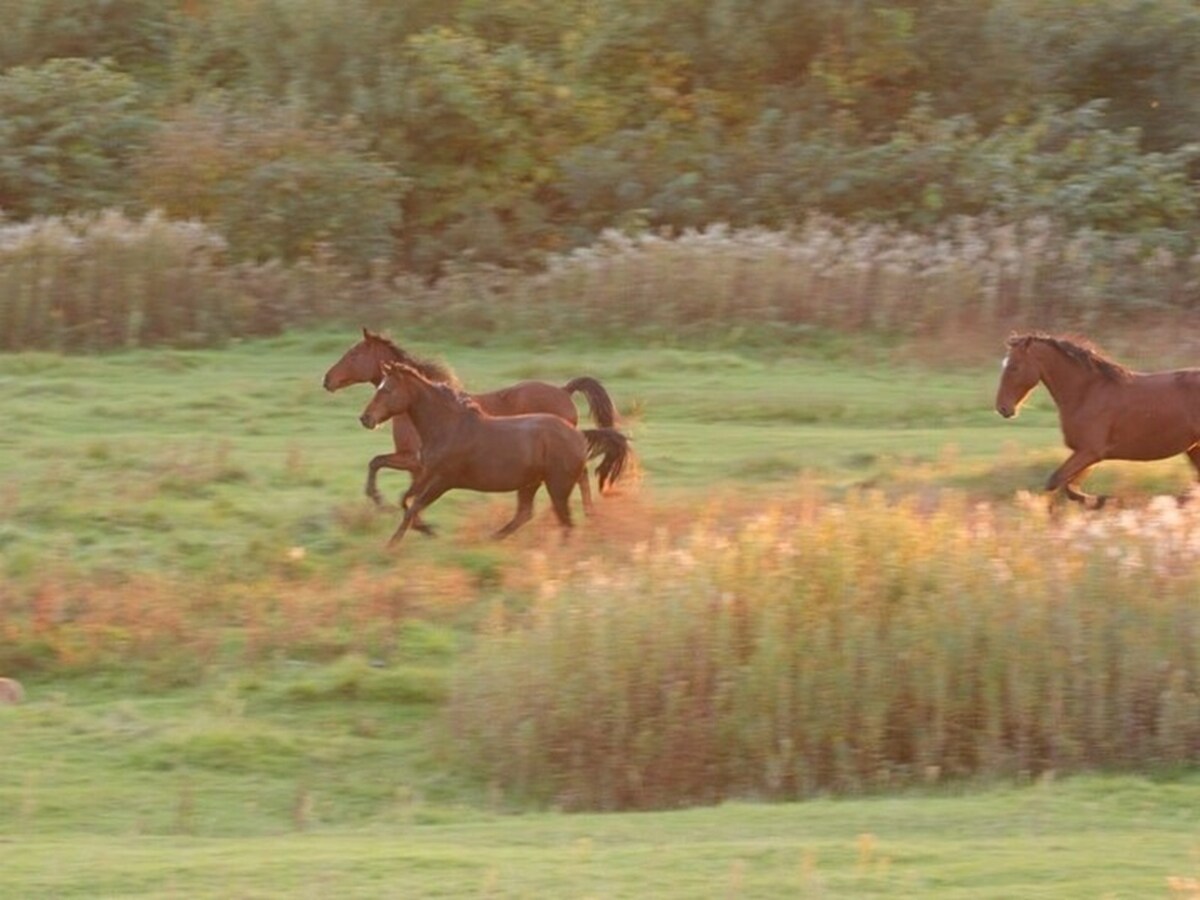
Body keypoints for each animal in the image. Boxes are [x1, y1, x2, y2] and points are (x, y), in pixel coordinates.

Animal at [323, 329, 618, 517]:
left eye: (353, 355)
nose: (327, 380)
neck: (420, 406)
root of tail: (564, 390)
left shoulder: (414, 459)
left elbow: (377, 463)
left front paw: (379, 501)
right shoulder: (420, 466)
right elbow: (404, 487)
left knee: (581, 476)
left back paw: (588, 514)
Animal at [358, 361, 632, 546]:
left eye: (386, 390)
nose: (365, 418)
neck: (449, 427)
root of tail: (578, 434)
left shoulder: (442, 480)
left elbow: (412, 505)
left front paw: (393, 544)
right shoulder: (424, 473)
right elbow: (405, 500)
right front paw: (424, 529)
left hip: (557, 487)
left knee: (565, 521)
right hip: (531, 483)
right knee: (525, 514)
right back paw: (491, 539)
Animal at [995, 332, 1200, 507]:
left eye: (1014, 367)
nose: (1002, 408)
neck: (1087, 392)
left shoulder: (1090, 452)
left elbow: (1058, 482)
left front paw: (1107, 501)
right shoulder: (1086, 455)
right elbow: (1068, 486)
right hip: (1193, 448)